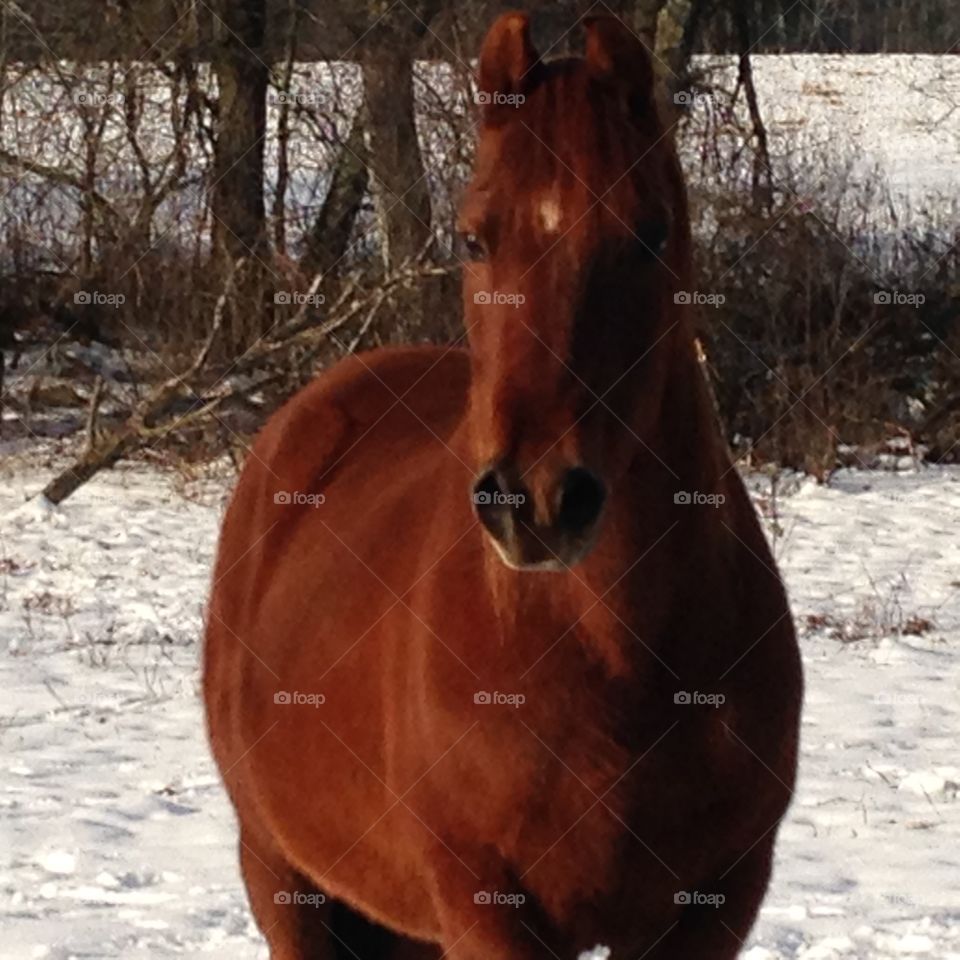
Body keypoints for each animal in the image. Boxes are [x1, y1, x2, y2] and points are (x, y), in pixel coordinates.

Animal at [204, 13, 803, 960]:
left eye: (649, 233)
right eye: (473, 237)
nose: (538, 502)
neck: (611, 656)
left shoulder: (715, 905)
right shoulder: (487, 907)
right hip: (282, 876)